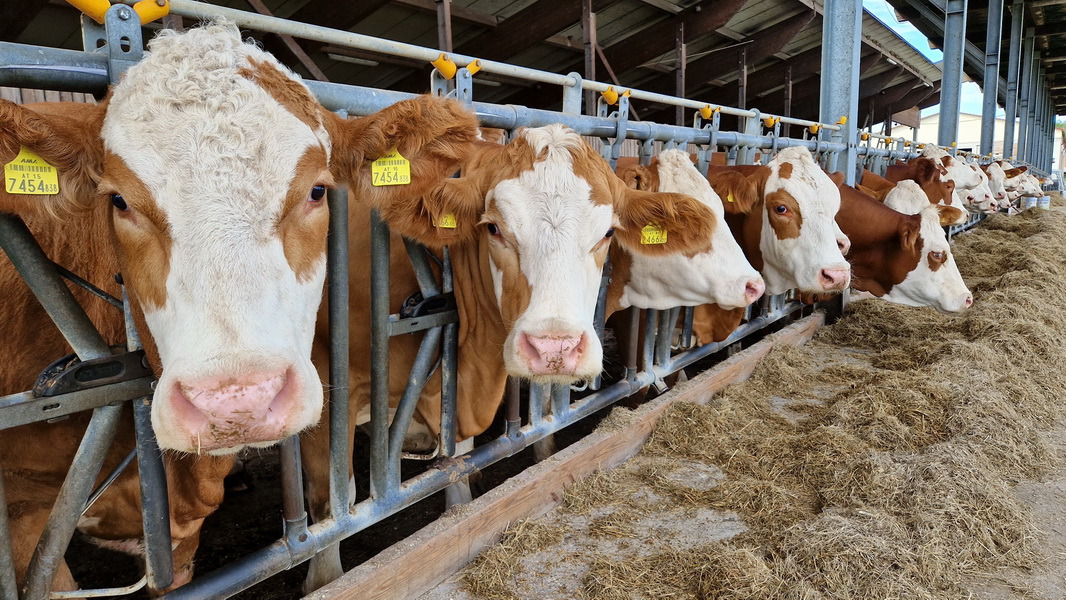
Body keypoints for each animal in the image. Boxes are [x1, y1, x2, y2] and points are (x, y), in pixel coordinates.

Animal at [299, 124, 718, 591]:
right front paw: (322, 579)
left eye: (608, 233)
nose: (555, 347)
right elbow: (332, 504)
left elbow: (457, 460)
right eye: (494, 229)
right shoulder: (325, 390)